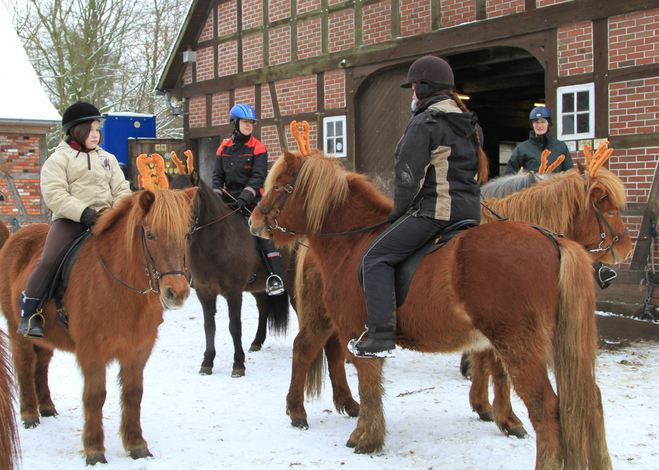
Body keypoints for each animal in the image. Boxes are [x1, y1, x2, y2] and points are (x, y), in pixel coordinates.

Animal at [0, 188, 196, 466]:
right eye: (150, 234)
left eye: (186, 235)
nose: (176, 293)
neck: (117, 285)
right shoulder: (92, 352)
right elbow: (94, 397)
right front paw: (94, 450)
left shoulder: (138, 351)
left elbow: (133, 394)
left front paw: (137, 445)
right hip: (18, 331)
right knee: (25, 365)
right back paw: (29, 414)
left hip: (46, 337)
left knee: (41, 364)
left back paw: (46, 407)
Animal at [169, 171, 296, 376]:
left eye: (190, 199)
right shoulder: (204, 292)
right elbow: (209, 327)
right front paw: (207, 362)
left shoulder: (234, 292)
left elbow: (234, 326)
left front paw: (238, 365)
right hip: (259, 287)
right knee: (263, 309)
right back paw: (257, 342)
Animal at [250, 151, 632, 470]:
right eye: (610, 209)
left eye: (279, 186)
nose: (254, 220)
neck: (353, 241)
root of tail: (554, 241)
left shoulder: (365, 332)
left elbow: (371, 383)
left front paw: (367, 437)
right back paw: (305, 409)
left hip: (521, 343)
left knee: (550, 408)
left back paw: (311, 408)